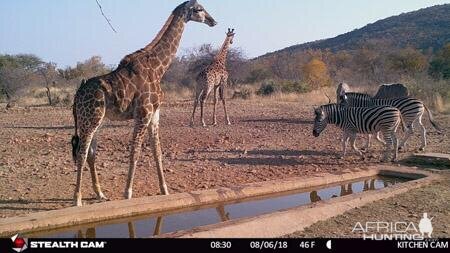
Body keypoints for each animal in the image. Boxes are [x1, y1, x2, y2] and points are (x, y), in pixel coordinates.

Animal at [71, 0, 217, 206]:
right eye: (199, 9)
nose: (213, 21)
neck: (158, 68)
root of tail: (77, 94)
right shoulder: (143, 113)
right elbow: (136, 152)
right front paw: (128, 193)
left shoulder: (154, 114)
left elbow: (157, 151)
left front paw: (165, 190)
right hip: (89, 119)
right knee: (81, 153)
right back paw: (77, 200)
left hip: (98, 121)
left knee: (91, 153)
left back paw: (100, 194)